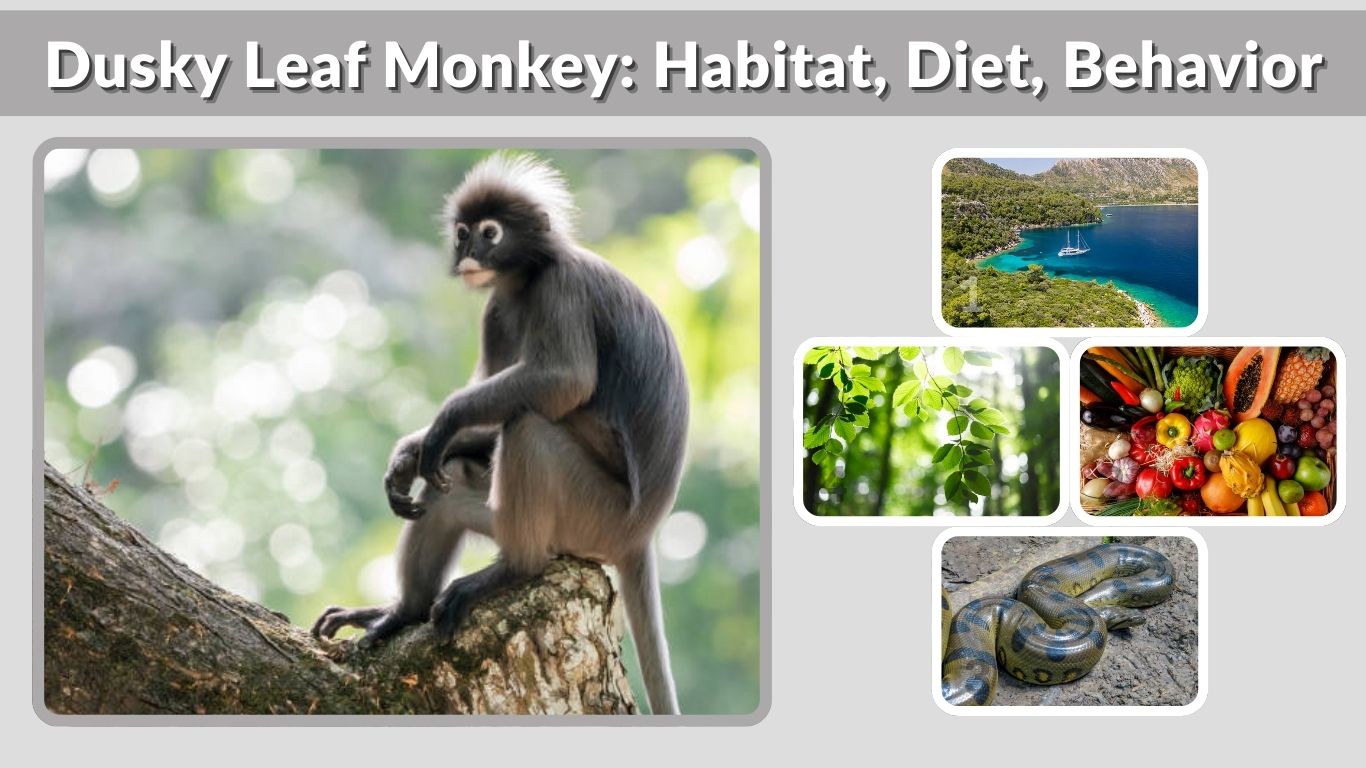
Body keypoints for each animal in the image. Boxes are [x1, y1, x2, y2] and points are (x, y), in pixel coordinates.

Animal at [311, 153, 688, 715]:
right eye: (463, 233)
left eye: (491, 233)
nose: (469, 252)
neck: (524, 282)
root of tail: (643, 532)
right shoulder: (497, 311)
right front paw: (410, 453)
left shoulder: (561, 288)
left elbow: (565, 382)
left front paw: (443, 421)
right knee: (447, 489)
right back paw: (402, 611)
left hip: (594, 518)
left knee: (530, 427)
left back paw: (514, 568)